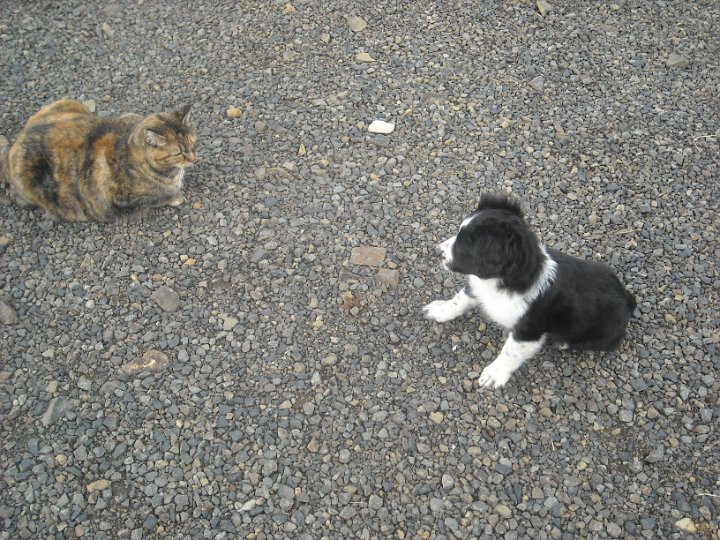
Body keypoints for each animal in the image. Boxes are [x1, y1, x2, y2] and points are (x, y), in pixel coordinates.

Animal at [0, 98, 196, 221]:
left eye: (192, 143)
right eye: (178, 153)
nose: (194, 159)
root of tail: (16, 143)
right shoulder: (122, 199)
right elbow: (158, 196)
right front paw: (175, 196)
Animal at [423, 193, 637, 388]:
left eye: (465, 245)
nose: (436, 251)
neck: (504, 282)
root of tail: (626, 298)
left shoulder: (529, 329)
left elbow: (510, 351)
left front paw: (494, 374)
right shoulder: (478, 288)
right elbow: (458, 301)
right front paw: (438, 310)